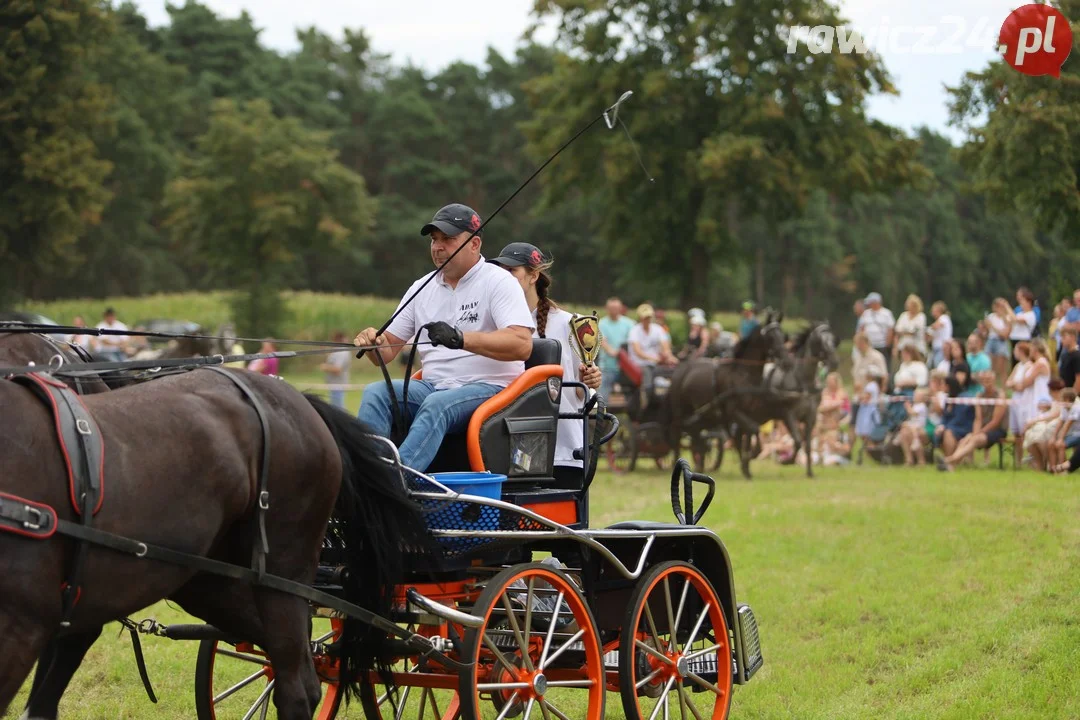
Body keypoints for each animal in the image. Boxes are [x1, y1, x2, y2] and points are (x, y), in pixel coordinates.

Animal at [660, 313, 790, 479]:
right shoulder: (733, 412)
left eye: (783, 335)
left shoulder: (746, 413)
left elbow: (745, 437)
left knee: (696, 434)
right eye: (771, 337)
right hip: (680, 412)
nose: (786, 361)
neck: (743, 373)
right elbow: (753, 430)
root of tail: (679, 370)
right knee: (676, 434)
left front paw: (746, 467)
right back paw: (677, 463)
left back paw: (700, 464)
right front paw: (752, 455)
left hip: (703, 415)